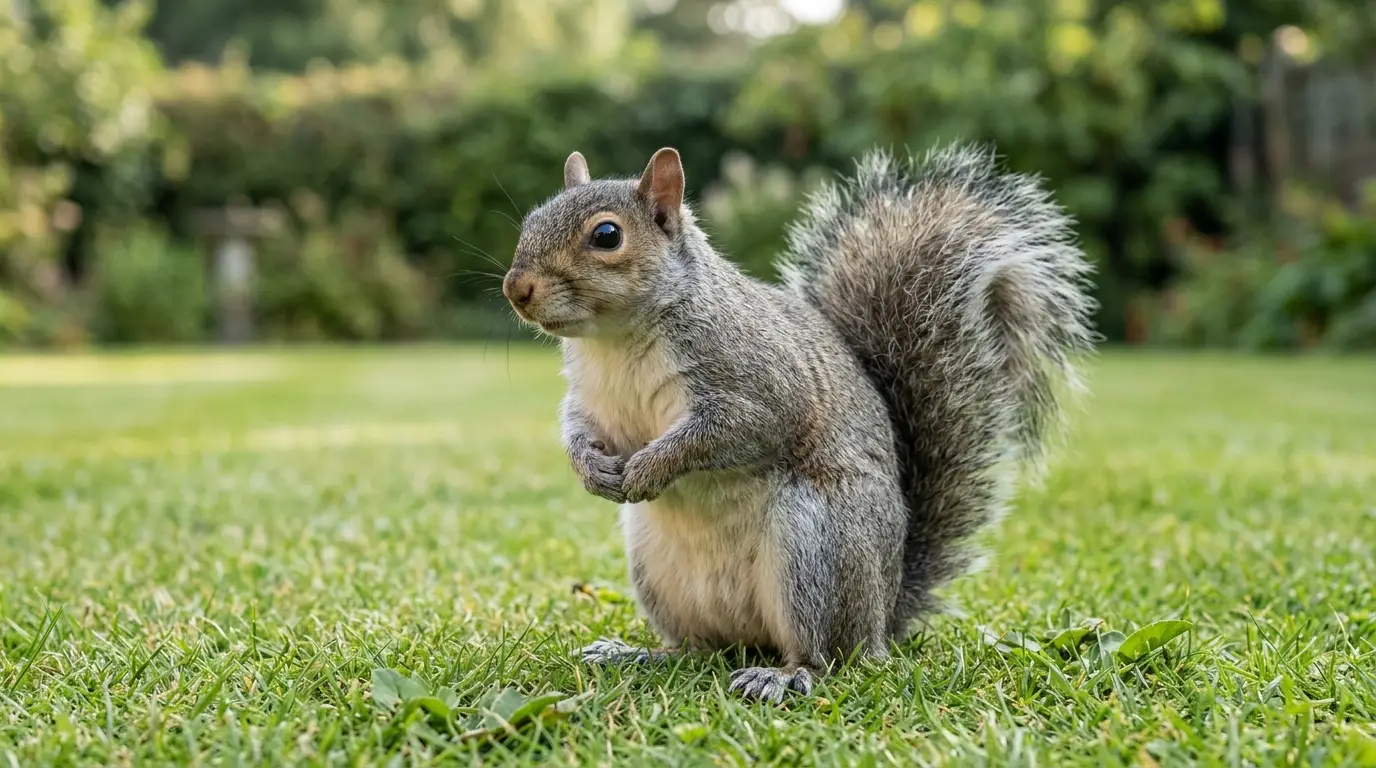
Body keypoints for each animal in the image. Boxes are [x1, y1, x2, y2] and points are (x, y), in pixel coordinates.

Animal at [501, 144, 1095, 703]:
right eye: (531, 220)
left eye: (606, 235)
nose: (516, 288)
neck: (615, 341)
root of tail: (883, 615)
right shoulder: (588, 398)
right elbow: (575, 428)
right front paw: (590, 469)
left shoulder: (758, 389)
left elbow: (722, 433)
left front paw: (651, 467)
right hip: (658, 571)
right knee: (699, 648)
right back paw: (639, 654)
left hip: (816, 549)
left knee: (826, 656)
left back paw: (783, 676)